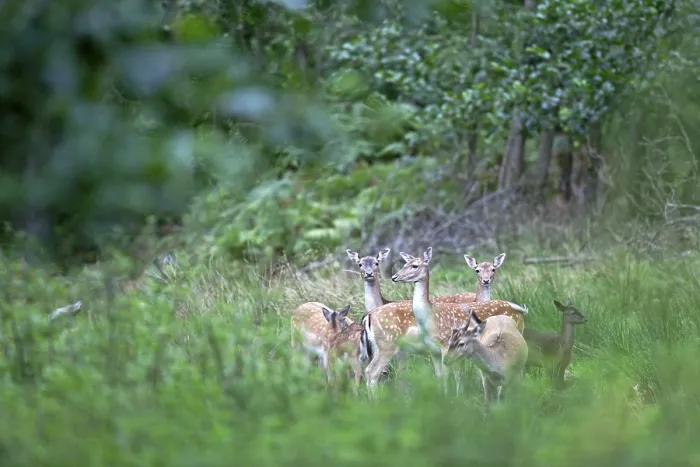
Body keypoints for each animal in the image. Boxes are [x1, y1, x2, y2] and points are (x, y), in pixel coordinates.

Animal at [361, 247, 528, 388]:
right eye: (405, 263)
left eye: (414, 266)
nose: (394, 277)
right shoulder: (438, 350)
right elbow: (446, 375)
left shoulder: (445, 346)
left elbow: (450, 375)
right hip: (385, 345)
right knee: (372, 372)